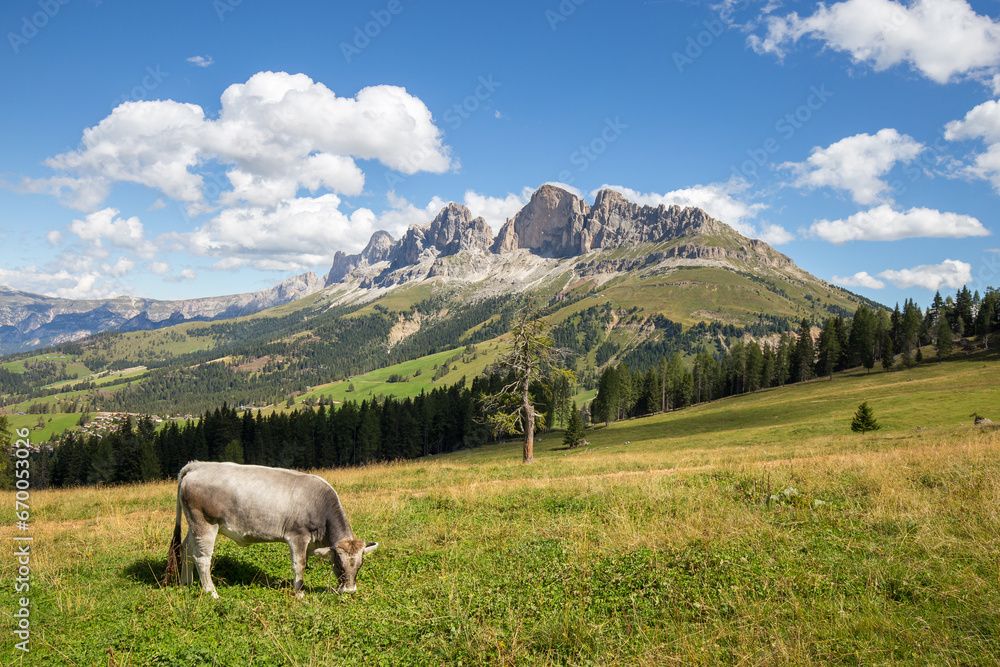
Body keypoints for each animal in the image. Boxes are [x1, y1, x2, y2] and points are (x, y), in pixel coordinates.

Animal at [162, 462, 376, 596]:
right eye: (339, 565)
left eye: (359, 566)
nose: (350, 591)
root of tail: (195, 466)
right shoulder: (297, 536)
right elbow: (300, 565)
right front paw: (299, 593)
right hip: (205, 524)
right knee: (202, 559)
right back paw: (211, 593)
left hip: (194, 525)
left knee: (186, 549)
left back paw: (186, 583)